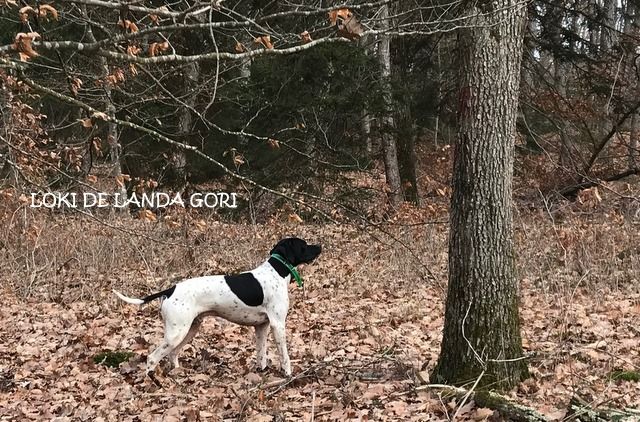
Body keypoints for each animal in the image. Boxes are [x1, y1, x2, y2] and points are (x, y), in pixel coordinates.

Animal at [114, 236, 320, 378]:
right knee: (152, 358)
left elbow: (261, 354)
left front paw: (261, 371)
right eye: (303, 244)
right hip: (177, 332)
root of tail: (171, 289)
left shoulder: (262, 326)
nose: (320, 246)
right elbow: (284, 354)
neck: (277, 271)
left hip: (189, 329)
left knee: (172, 354)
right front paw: (287, 373)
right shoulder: (278, 324)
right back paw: (153, 381)